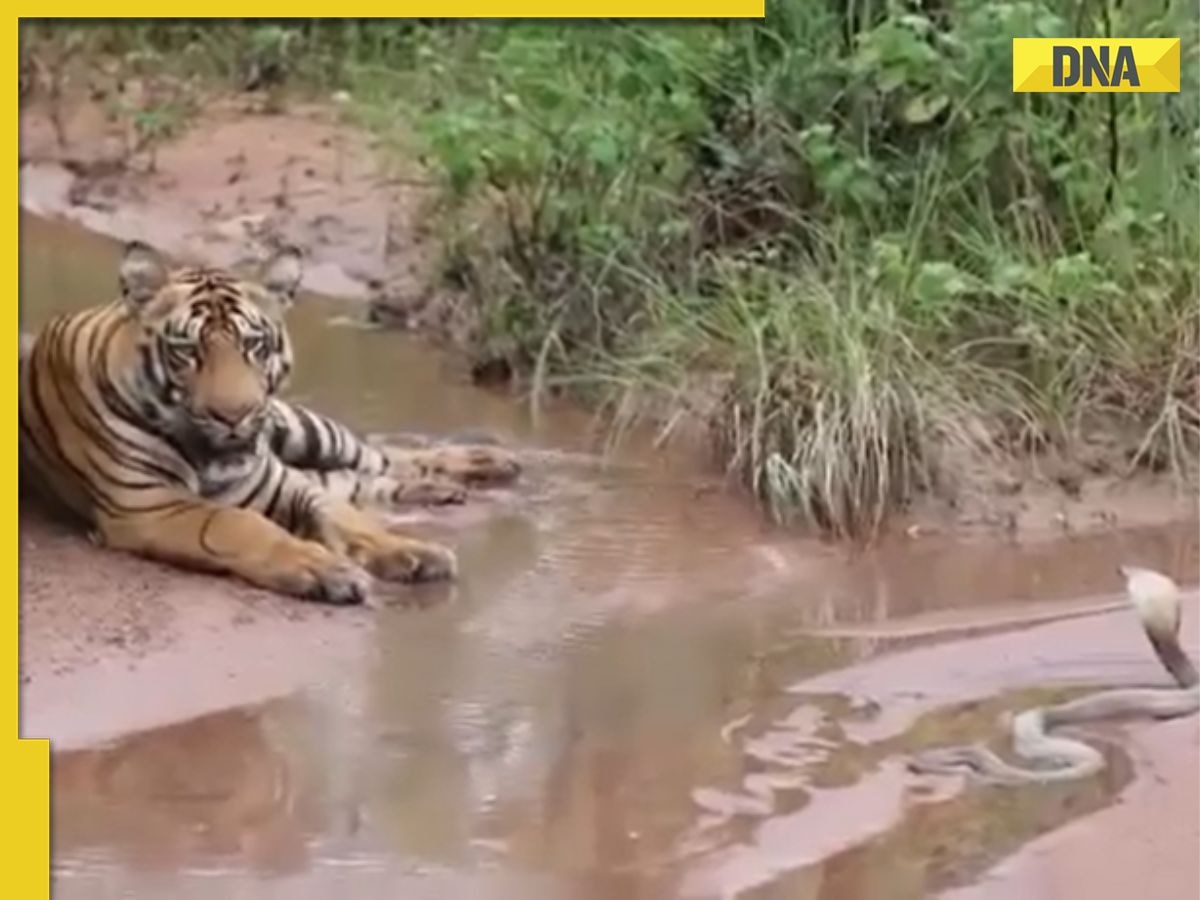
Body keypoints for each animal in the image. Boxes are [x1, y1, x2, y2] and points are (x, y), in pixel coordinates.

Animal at [15, 240, 520, 607]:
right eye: (188, 351)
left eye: (253, 345)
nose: (234, 414)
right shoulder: (149, 505)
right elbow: (241, 525)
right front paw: (325, 570)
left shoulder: (283, 483)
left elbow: (348, 518)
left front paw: (412, 551)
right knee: (364, 478)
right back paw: (447, 489)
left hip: (305, 429)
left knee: (378, 455)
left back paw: (487, 462)